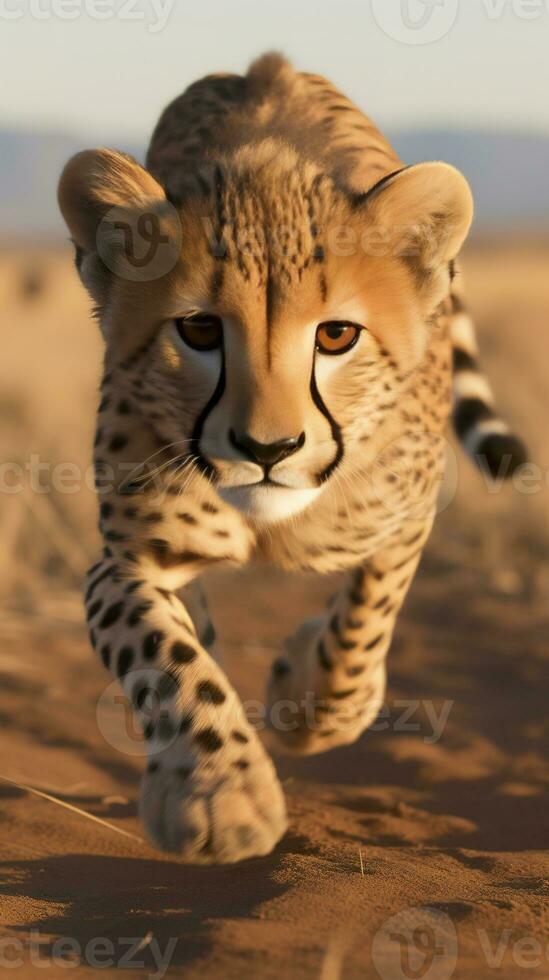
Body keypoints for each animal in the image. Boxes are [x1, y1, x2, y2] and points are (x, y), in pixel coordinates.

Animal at [57, 55, 524, 864]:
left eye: (336, 335)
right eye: (199, 329)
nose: (268, 448)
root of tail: (267, 66)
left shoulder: (406, 516)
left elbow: (364, 622)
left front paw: (307, 701)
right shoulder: (125, 559)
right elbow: (161, 651)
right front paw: (218, 794)